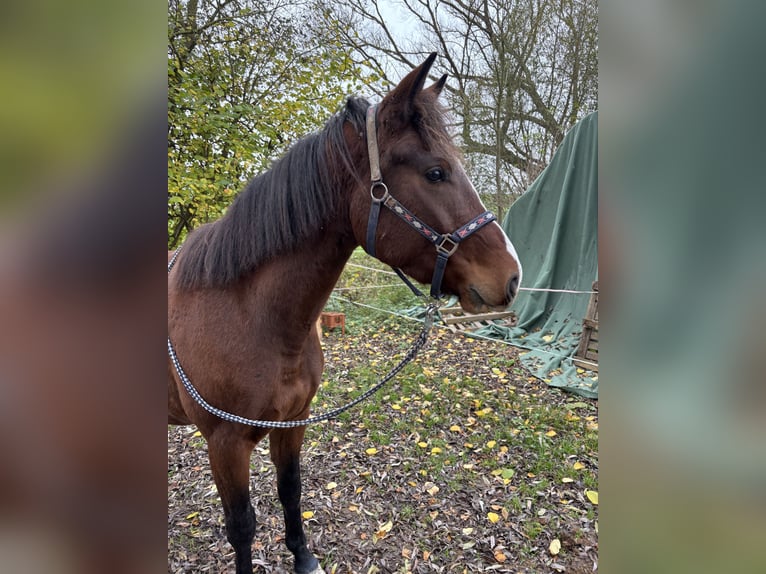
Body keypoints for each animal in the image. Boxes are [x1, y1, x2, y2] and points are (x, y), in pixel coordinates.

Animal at [170, 54, 520, 574]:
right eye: (436, 173)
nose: (512, 276)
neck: (248, 316)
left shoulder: (294, 421)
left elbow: (290, 490)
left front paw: (303, 557)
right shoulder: (224, 444)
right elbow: (241, 527)